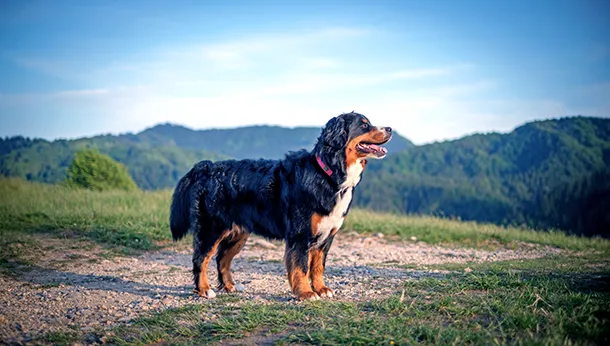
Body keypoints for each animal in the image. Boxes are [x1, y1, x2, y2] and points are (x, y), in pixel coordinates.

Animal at [169, 113, 392, 300]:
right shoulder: (300, 234)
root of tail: (206, 167)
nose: (390, 128)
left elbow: (317, 266)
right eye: (364, 125)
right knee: (201, 259)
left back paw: (230, 286)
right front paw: (306, 293)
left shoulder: (326, 237)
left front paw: (321, 289)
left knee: (222, 259)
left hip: (238, 234)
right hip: (211, 229)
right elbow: (301, 266)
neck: (328, 174)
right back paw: (204, 290)